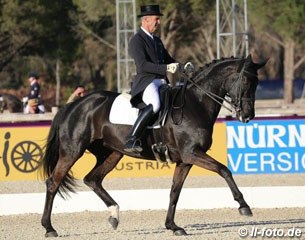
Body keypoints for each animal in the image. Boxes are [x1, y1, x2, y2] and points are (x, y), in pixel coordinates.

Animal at [41, 54, 264, 236]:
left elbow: (175, 191)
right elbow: (224, 169)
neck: (196, 103)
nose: (247, 116)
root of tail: (74, 104)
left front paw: (173, 226)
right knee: (53, 183)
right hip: (72, 151)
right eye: (246, 80)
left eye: (257, 82)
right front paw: (244, 206)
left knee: (92, 179)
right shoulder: (192, 153)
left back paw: (114, 215)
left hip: (112, 153)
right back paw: (49, 228)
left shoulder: (185, 160)